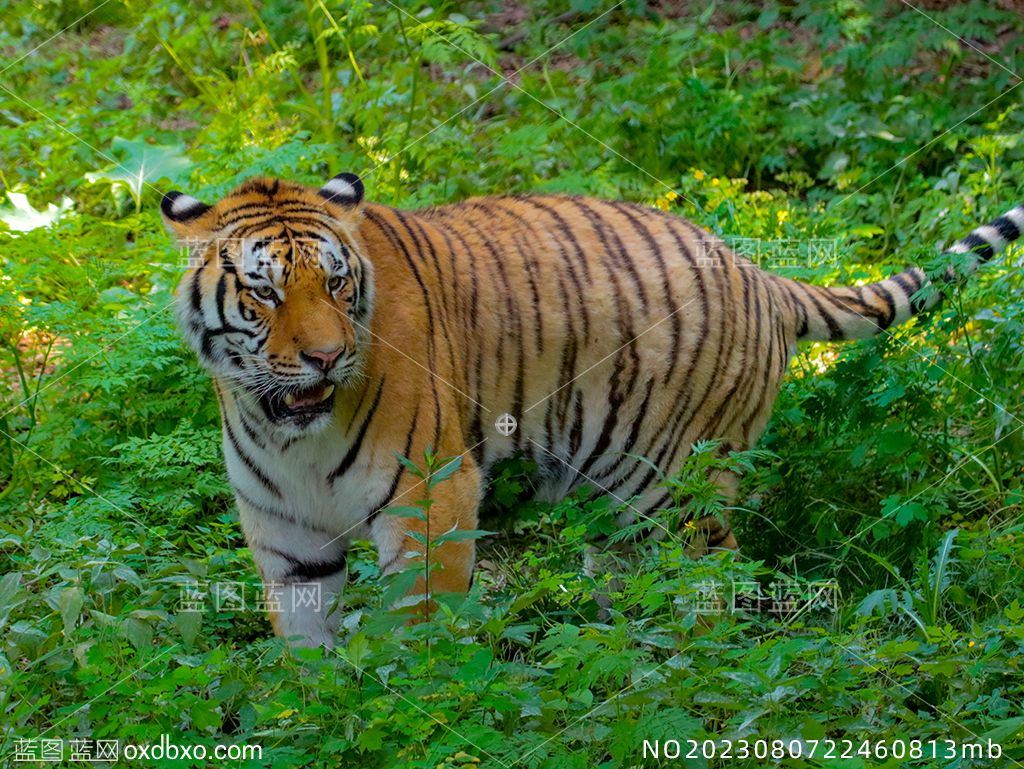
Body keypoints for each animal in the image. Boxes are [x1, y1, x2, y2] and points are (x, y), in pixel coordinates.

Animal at [159, 171, 1024, 647]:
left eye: (337, 283)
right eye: (266, 290)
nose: (326, 356)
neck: (290, 429)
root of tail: (761, 274)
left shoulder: (432, 493)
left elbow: (423, 627)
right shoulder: (287, 534)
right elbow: (309, 651)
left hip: (682, 497)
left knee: (712, 588)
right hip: (618, 508)